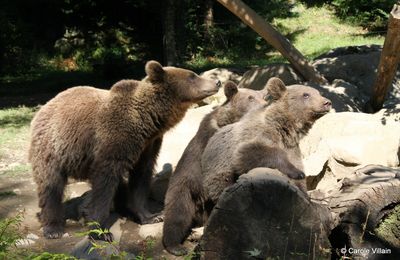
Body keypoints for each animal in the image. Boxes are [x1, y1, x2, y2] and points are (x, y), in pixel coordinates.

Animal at [29, 61, 220, 240]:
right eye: (192, 76)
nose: (217, 82)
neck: (146, 121)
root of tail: (44, 107)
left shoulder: (148, 145)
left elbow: (141, 176)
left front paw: (151, 216)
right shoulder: (114, 138)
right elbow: (105, 182)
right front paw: (101, 231)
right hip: (53, 148)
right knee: (51, 186)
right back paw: (53, 227)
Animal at [161, 78, 282, 255]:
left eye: (264, 96)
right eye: (250, 98)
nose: (265, 104)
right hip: (185, 186)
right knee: (177, 212)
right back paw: (176, 245)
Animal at [203, 80, 332, 204]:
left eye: (318, 93)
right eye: (306, 94)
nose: (327, 102)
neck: (285, 129)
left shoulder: (292, 148)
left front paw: (304, 193)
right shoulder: (258, 135)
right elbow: (247, 153)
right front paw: (297, 172)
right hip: (218, 169)